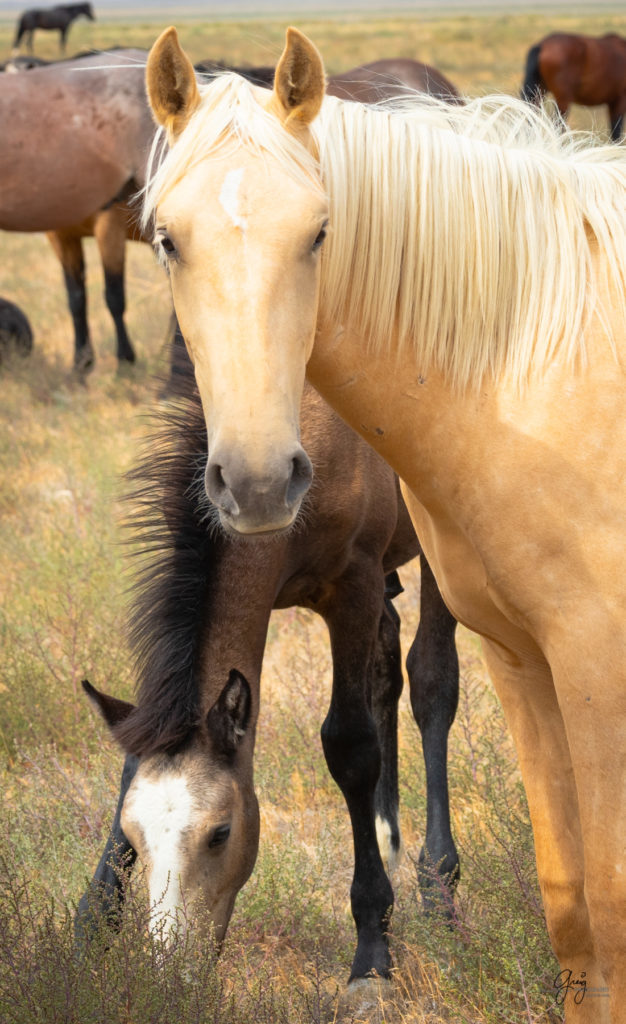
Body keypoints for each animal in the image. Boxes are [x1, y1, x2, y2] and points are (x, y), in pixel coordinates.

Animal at [142, 28, 626, 1019]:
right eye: (166, 238)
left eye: (320, 233)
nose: (257, 481)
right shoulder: (505, 644)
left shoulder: (380, 590)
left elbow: (357, 741)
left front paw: (377, 945)